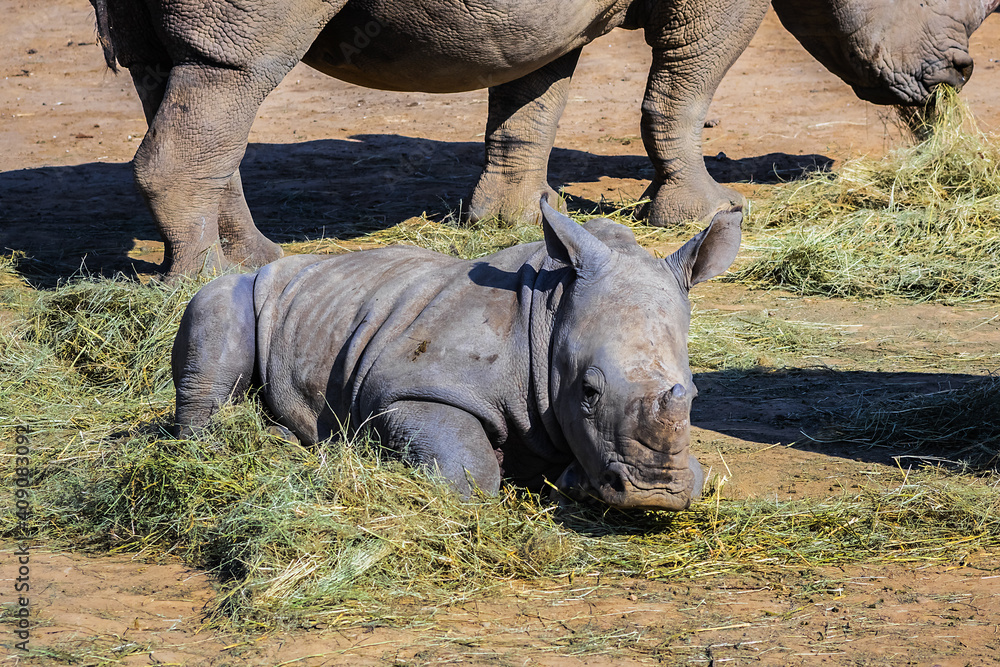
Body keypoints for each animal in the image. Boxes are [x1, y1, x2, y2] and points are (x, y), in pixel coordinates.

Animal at [90, 0, 997, 281]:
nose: (956, 74)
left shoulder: (543, 22)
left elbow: (531, 104)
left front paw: (513, 222)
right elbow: (683, 87)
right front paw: (704, 210)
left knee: (177, 77)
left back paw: (257, 261)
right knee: (233, 72)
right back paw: (199, 283)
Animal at [172, 199, 741, 510]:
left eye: (693, 394)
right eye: (588, 392)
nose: (653, 493)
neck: (551, 311)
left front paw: (571, 480)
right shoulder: (409, 386)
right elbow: (469, 469)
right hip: (241, 287)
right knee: (216, 315)